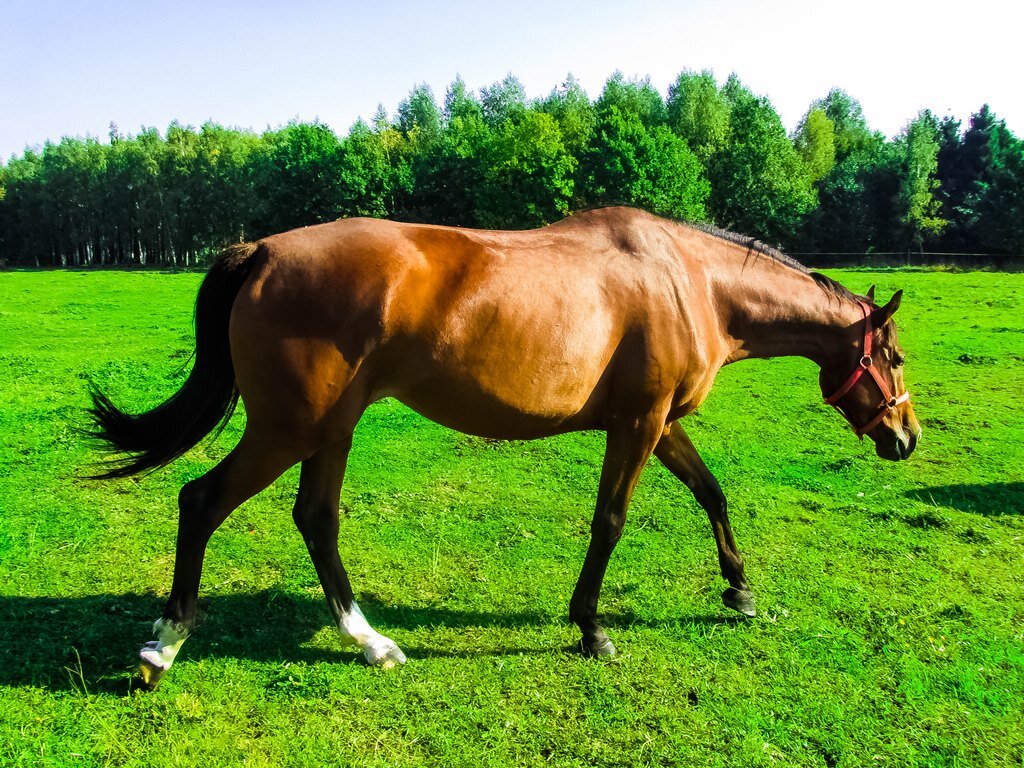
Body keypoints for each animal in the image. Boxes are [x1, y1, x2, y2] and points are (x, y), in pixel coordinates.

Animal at [88, 207, 921, 688]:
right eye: (895, 356)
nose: (906, 437)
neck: (689, 282)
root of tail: (261, 251)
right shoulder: (639, 425)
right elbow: (609, 522)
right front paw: (591, 627)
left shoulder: (657, 422)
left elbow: (711, 491)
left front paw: (739, 591)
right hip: (290, 429)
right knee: (202, 501)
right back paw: (164, 646)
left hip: (330, 429)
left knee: (316, 521)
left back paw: (371, 642)